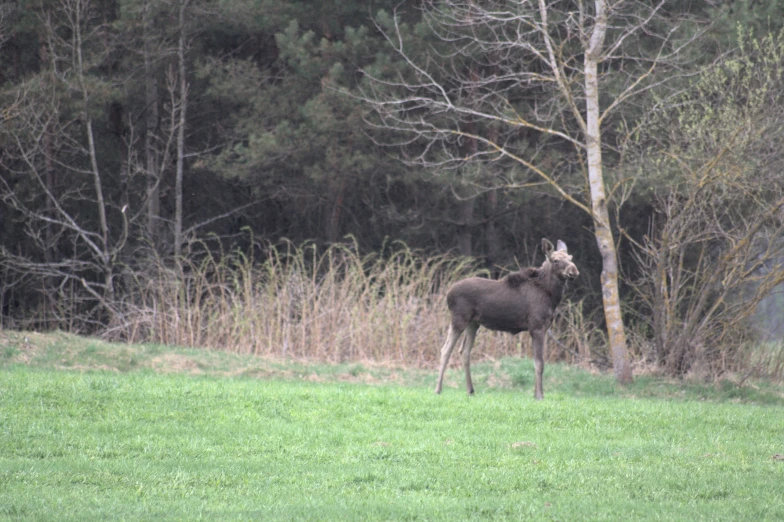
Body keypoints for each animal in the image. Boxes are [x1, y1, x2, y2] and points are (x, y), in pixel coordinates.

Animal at [438, 238, 580, 400]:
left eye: (570, 258)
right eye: (555, 260)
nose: (573, 271)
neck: (551, 295)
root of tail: (448, 294)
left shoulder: (542, 328)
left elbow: (536, 362)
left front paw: (535, 393)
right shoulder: (537, 327)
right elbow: (539, 363)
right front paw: (539, 395)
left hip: (473, 324)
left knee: (464, 351)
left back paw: (470, 390)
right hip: (459, 319)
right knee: (445, 350)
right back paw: (438, 389)